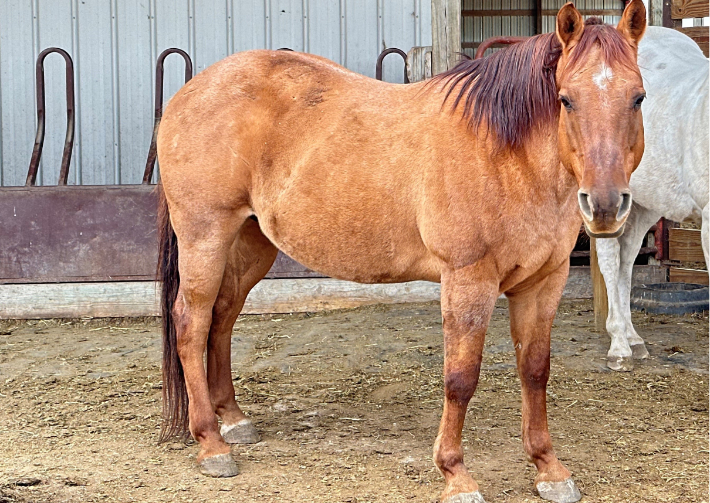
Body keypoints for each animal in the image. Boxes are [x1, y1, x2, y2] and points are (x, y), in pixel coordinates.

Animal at [155, 2, 646, 502]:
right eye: (566, 99)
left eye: (638, 98)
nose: (606, 205)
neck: (505, 155)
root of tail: (189, 92)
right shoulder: (468, 279)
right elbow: (460, 378)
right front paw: (455, 473)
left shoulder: (544, 281)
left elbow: (535, 370)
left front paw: (548, 468)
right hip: (205, 237)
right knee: (192, 324)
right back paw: (211, 444)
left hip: (250, 242)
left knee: (222, 319)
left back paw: (233, 421)